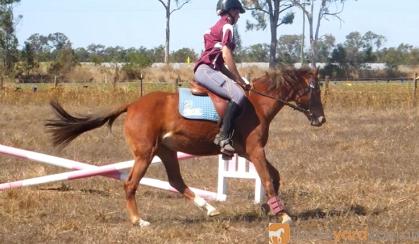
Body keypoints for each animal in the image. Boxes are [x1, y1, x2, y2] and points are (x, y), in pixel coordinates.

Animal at [46, 67, 328, 227]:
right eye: (314, 90)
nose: (321, 119)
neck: (256, 104)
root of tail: (132, 104)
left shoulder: (248, 151)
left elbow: (275, 176)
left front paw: (270, 208)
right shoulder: (255, 150)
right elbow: (268, 179)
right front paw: (283, 215)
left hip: (166, 151)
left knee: (176, 182)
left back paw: (209, 209)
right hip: (145, 154)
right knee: (131, 184)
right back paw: (139, 220)